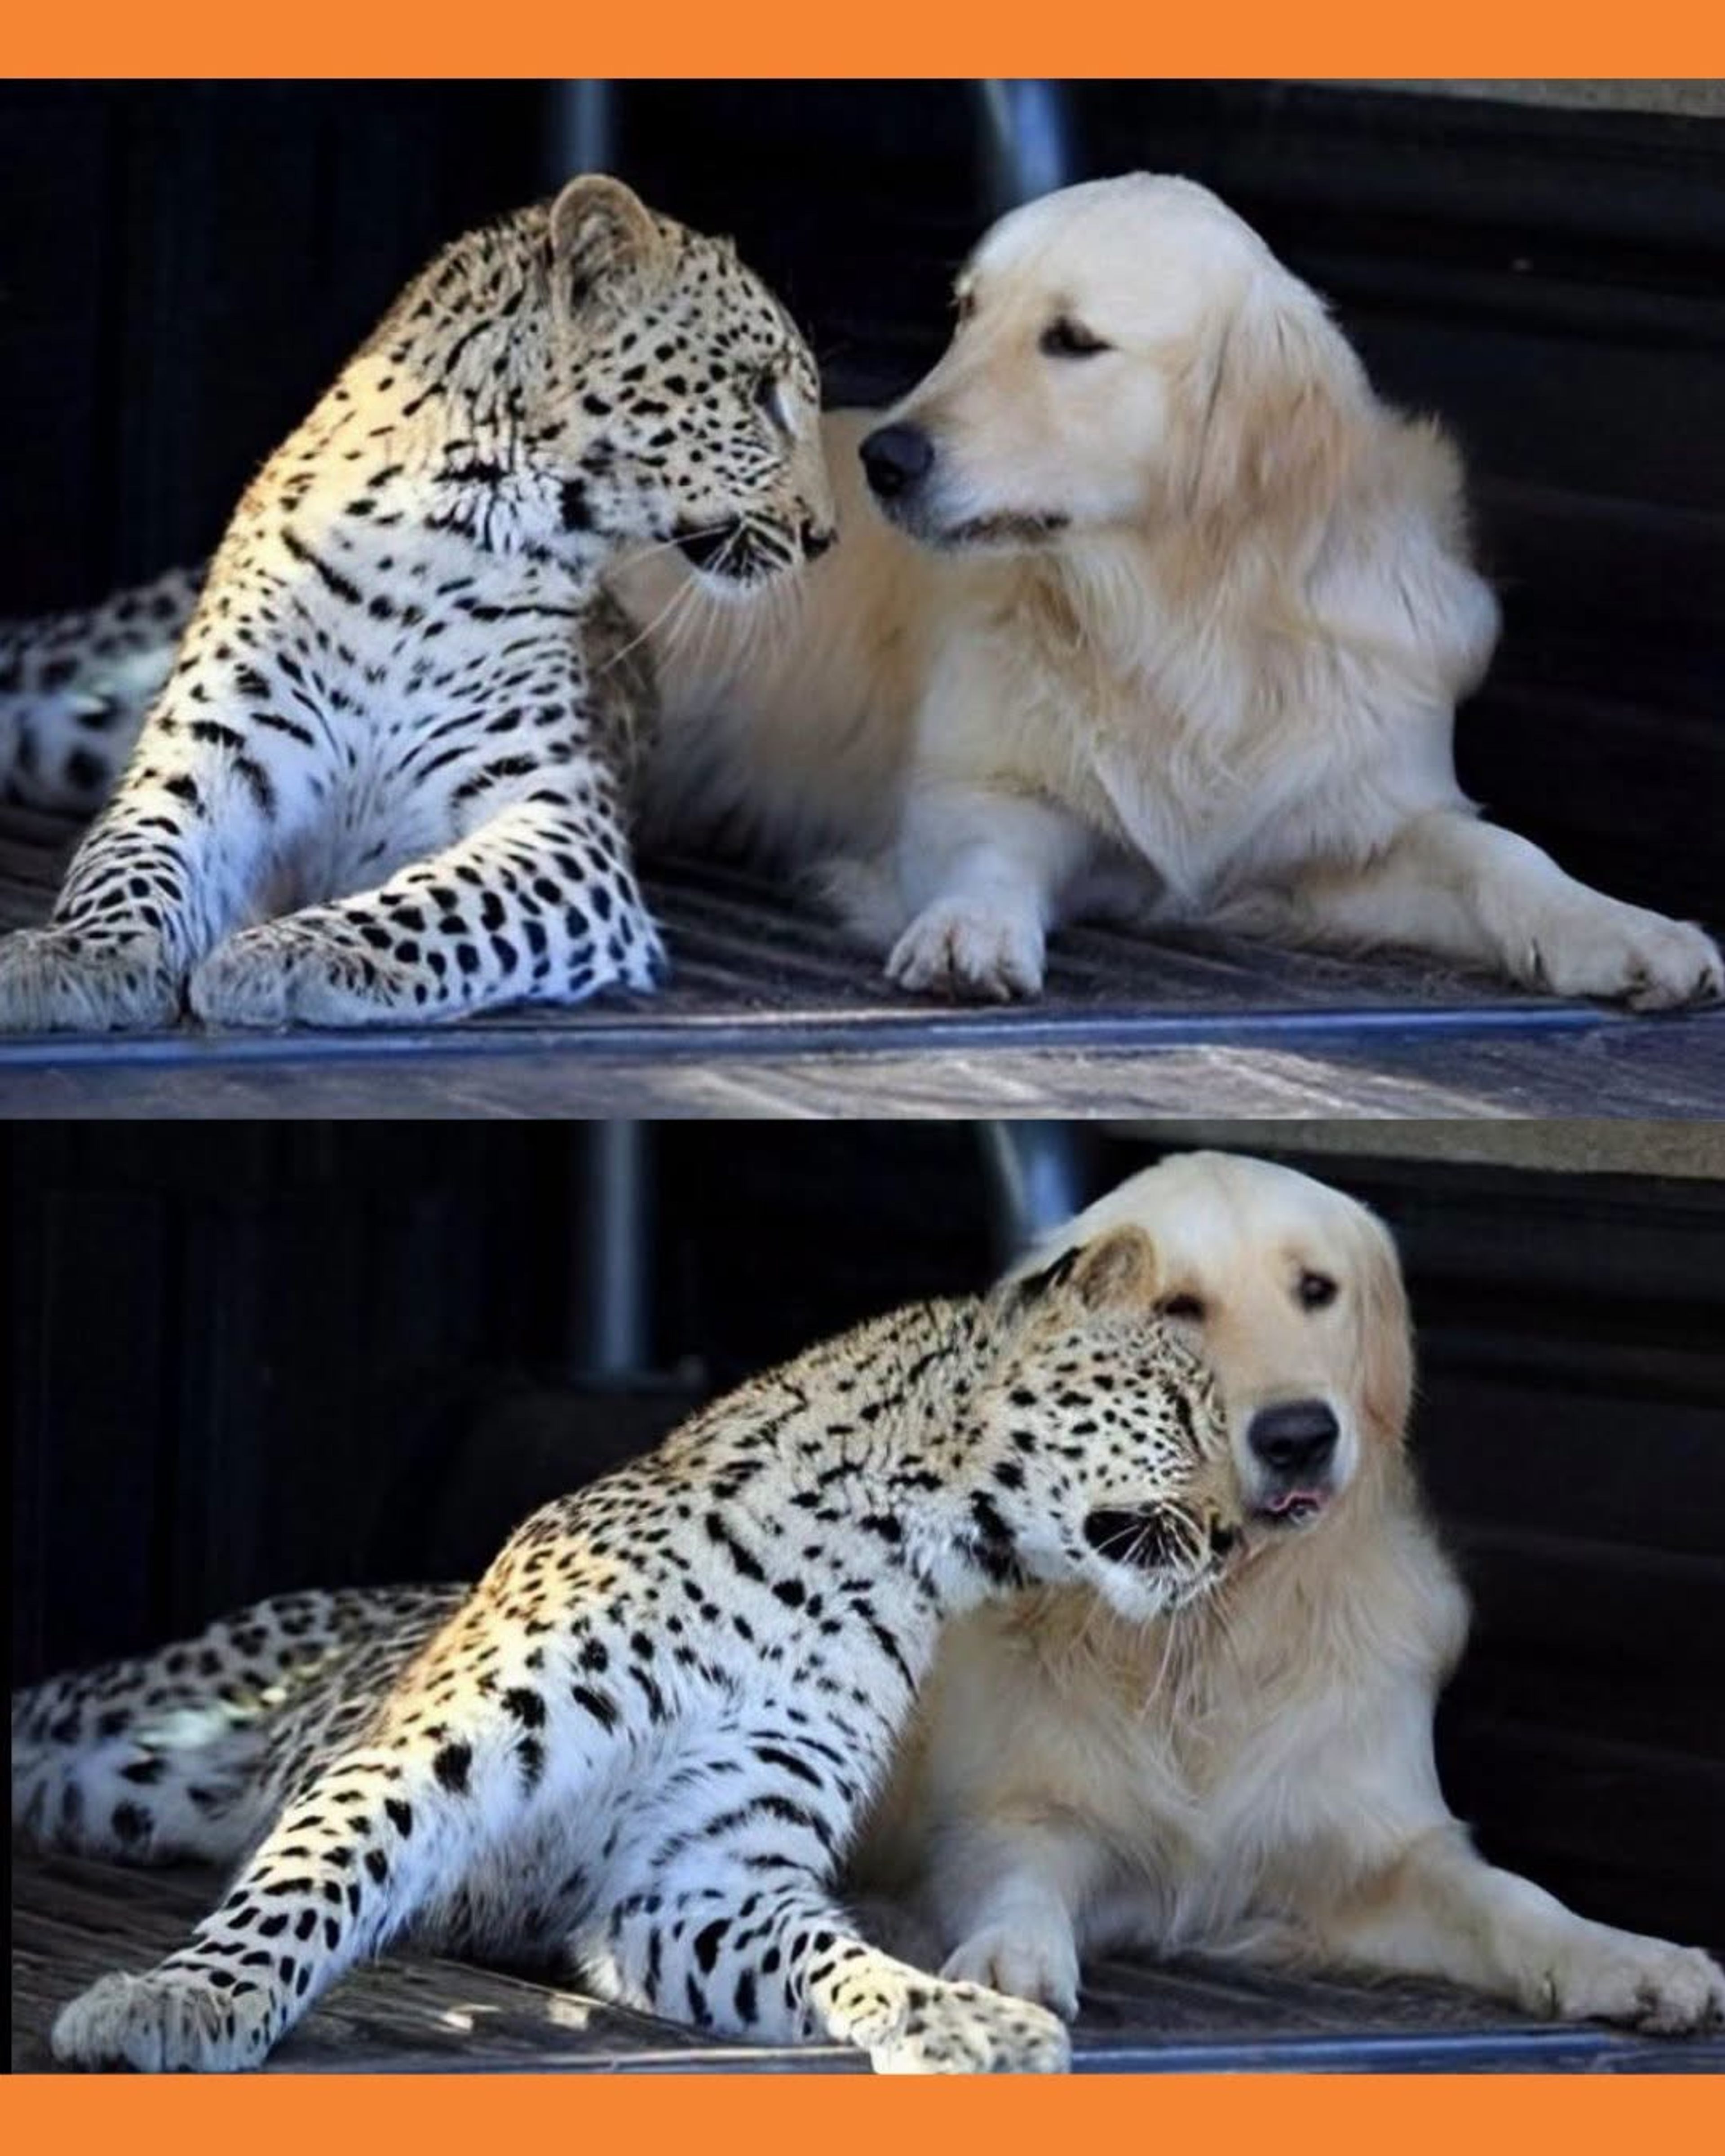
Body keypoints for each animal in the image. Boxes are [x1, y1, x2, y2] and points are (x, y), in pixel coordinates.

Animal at [0, 174, 833, 1032]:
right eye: (760, 394)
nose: (823, 535)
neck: (441, 538)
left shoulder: (559, 823)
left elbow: (444, 905)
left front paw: (289, 953)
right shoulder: (210, 754)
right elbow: (133, 853)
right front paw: (75, 954)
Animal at [13, 1225, 1242, 2075]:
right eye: (1182, 1413)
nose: (1238, 1535)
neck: (869, 1558)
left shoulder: (695, 1873)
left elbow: (829, 1955)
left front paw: (957, 2017)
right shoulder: (422, 1756)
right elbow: (307, 1884)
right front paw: (179, 2002)